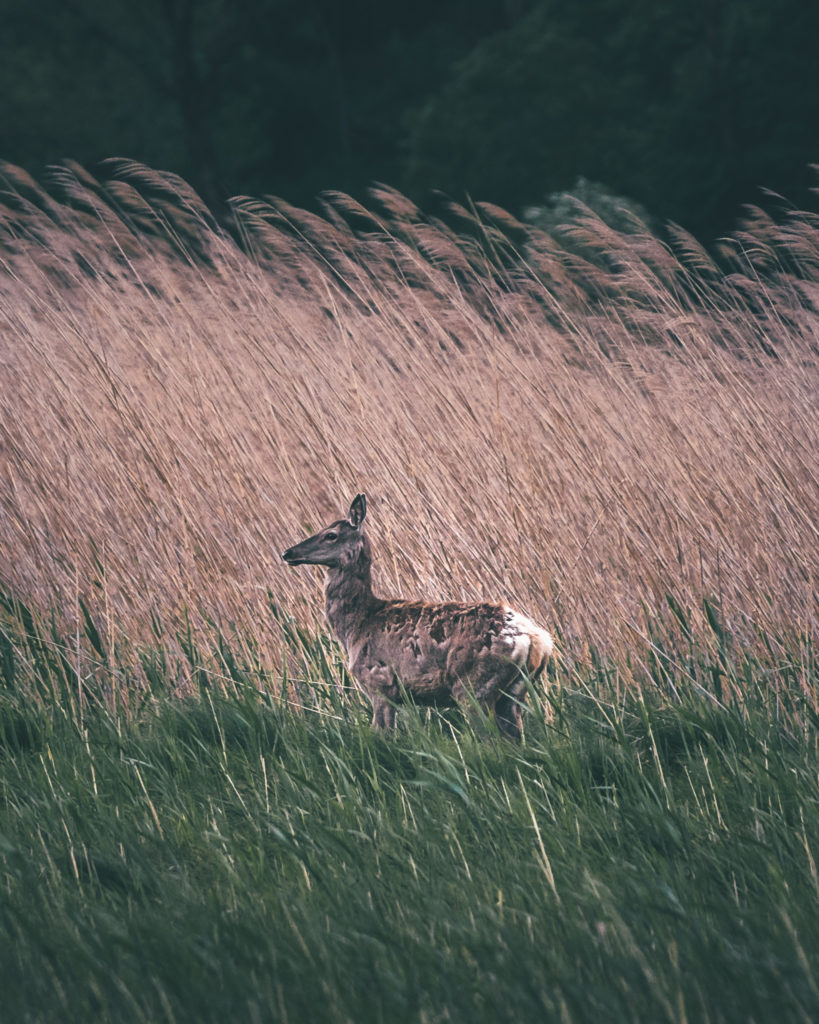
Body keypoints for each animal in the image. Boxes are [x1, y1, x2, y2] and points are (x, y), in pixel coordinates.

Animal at [282, 493, 556, 741]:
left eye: (330, 535)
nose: (288, 553)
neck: (357, 625)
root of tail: (536, 639)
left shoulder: (379, 683)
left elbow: (383, 736)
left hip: (474, 687)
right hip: (516, 691)